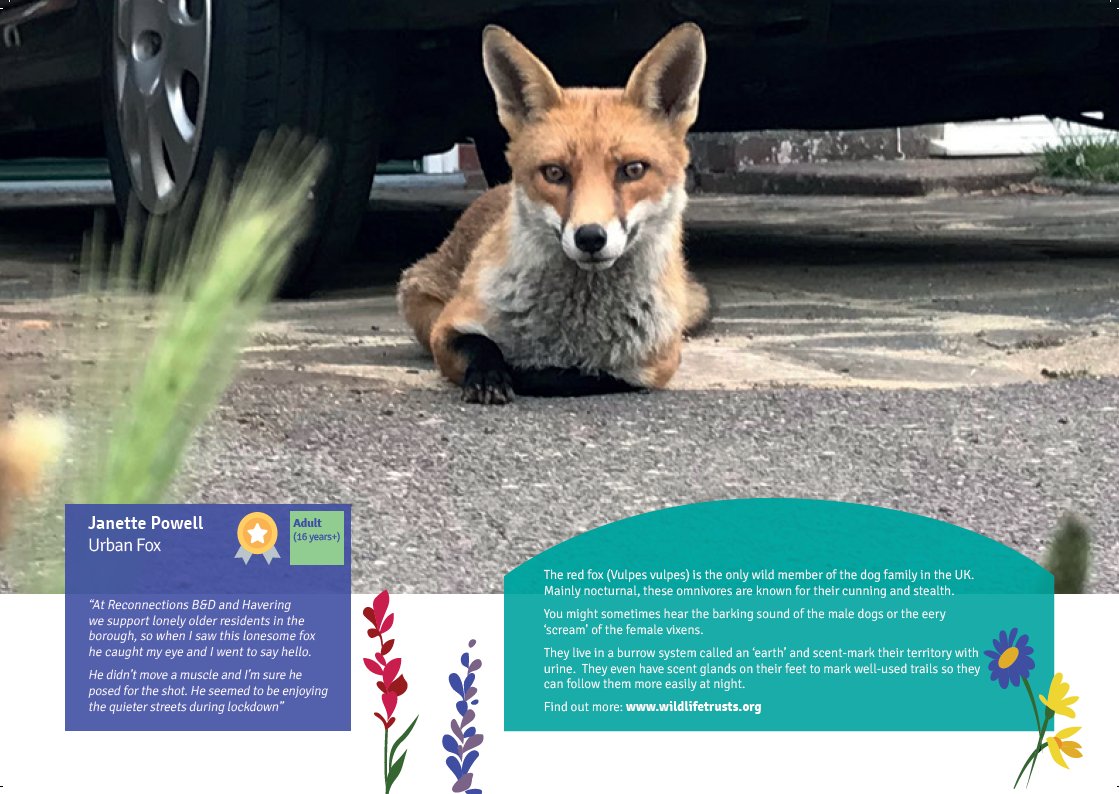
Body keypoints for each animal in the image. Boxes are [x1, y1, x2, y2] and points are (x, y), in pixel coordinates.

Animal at [397, 23, 711, 404]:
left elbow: (577, 376)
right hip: (418, 297)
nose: (590, 237)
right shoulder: (447, 327)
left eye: (633, 170)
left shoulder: (652, 367)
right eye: (554, 173)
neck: (568, 334)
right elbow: (482, 346)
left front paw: (532, 373)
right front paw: (491, 376)